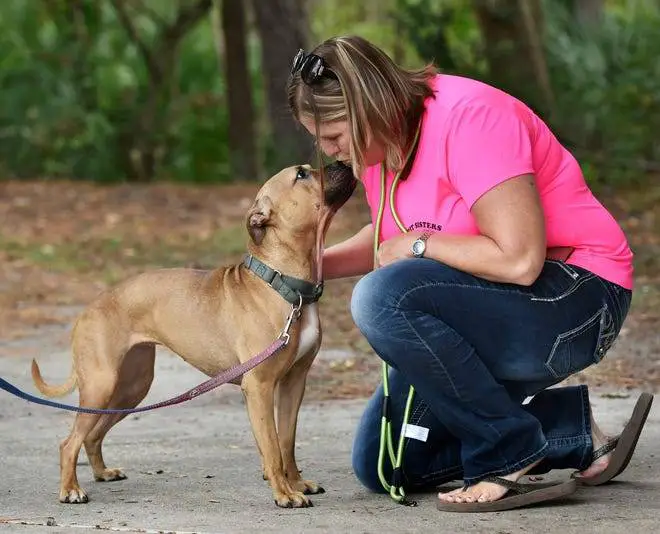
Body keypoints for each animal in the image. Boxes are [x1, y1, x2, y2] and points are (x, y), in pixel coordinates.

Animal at [32, 164, 356, 510]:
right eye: (301, 175)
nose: (343, 164)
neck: (283, 285)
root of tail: (88, 309)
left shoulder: (294, 383)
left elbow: (287, 441)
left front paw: (296, 483)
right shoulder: (259, 387)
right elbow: (271, 447)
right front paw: (284, 493)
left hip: (130, 388)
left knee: (92, 434)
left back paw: (102, 473)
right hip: (101, 385)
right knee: (69, 442)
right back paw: (71, 490)